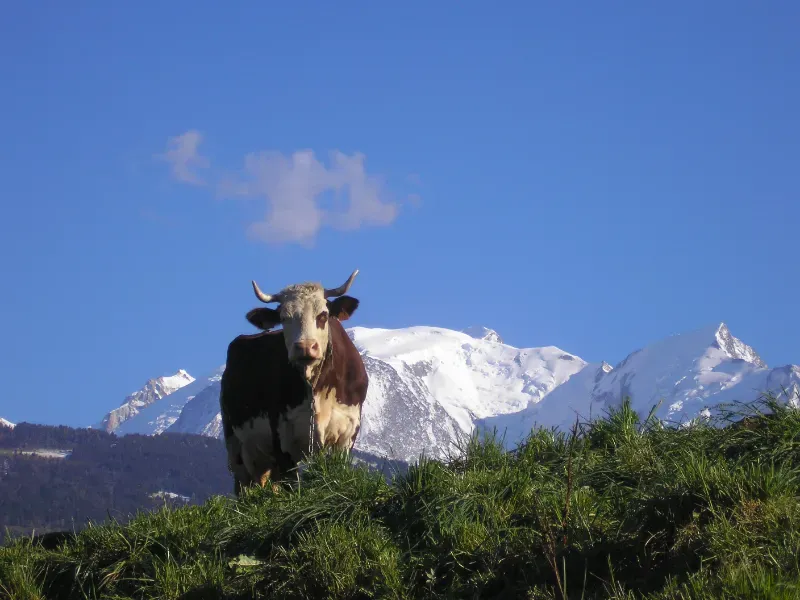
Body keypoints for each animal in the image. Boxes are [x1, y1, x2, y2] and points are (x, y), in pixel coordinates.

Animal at [219, 269, 369, 496]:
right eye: (284, 318)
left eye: (323, 315)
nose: (305, 347)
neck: (315, 388)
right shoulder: (280, 436)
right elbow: (290, 485)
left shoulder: (348, 431)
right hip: (235, 446)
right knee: (245, 487)